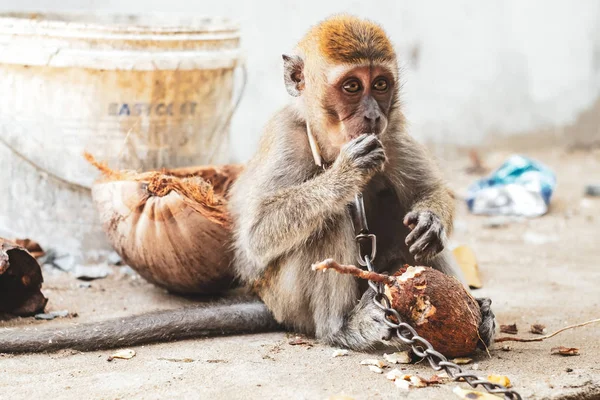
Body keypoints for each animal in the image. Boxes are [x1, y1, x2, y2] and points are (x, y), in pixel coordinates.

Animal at [0, 14, 494, 354]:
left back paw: (477, 318)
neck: (330, 142)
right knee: (330, 221)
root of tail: (272, 305)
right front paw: (344, 175)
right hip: (288, 298)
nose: (373, 115)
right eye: (353, 86)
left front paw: (431, 219)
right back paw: (340, 328)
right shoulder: (287, 140)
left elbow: (428, 195)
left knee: (398, 215)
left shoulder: (394, 132)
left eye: (382, 84)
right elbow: (257, 237)